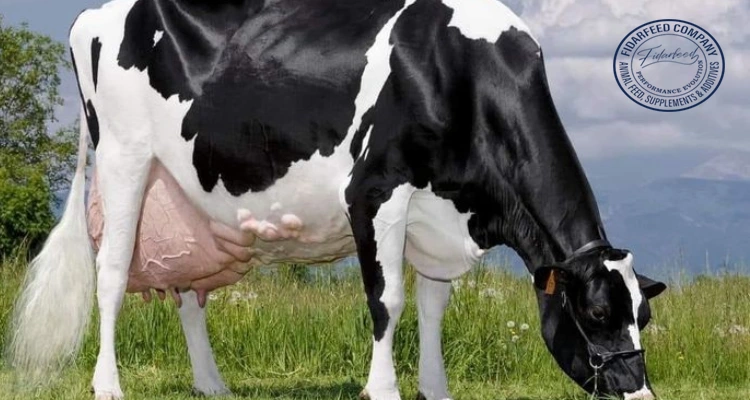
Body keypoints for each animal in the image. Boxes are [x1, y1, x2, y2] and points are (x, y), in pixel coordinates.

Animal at [6, 0, 666, 399]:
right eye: (597, 315)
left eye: (643, 316)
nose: (639, 391)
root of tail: (99, 11)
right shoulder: (376, 190)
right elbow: (387, 301)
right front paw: (384, 388)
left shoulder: (440, 214)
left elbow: (433, 306)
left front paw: (435, 388)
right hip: (124, 157)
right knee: (112, 274)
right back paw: (108, 384)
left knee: (188, 293)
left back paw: (211, 383)